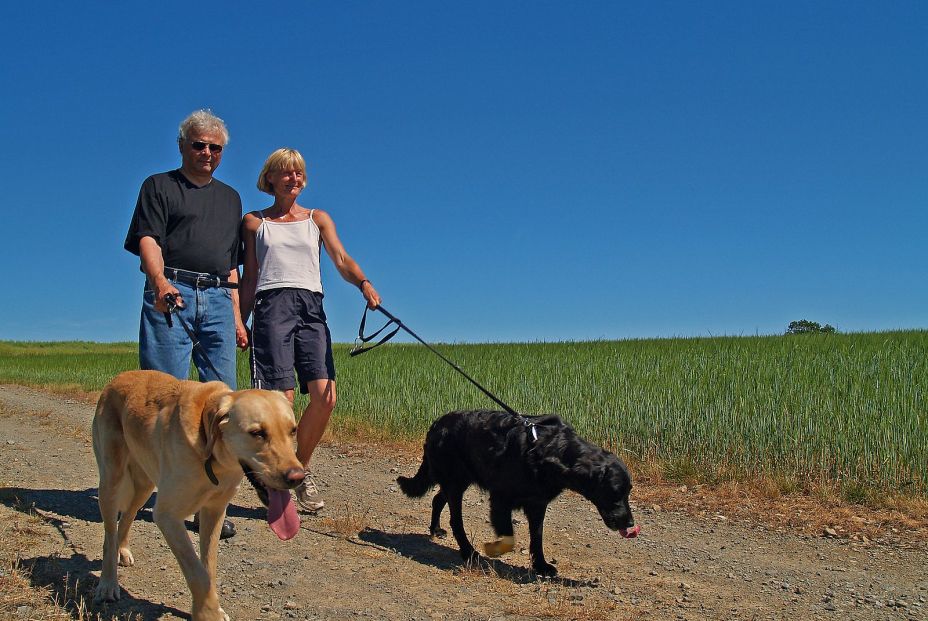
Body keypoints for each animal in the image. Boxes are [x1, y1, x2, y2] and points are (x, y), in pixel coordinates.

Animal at [398, 410, 640, 572]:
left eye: (628, 492)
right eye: (615, 492)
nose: (630, 523)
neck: (551, 452)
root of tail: (436, 424)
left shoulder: (537, 504)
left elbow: (537, 536)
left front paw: (541, 565)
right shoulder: (500, 500)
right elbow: (508, 538)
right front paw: (494, 550)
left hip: (458, 480)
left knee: (438, 499)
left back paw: (436, 529)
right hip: (455, 481)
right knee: (455, 519)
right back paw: (468, 552)